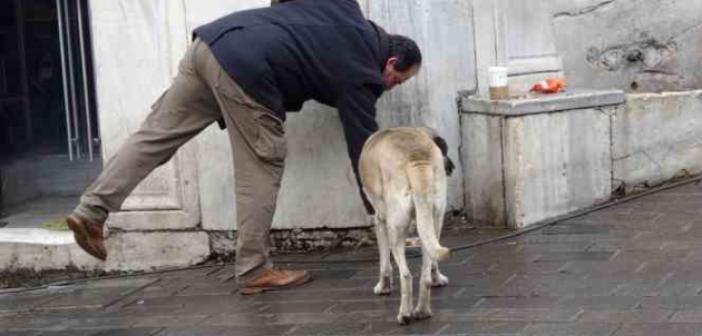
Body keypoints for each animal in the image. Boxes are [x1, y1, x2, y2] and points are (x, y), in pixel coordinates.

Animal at [360, 126, 454, 326]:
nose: (451, 167)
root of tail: (416, 158)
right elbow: (433, 262)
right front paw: (438, 278)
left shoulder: (380, 221)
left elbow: (384, 263)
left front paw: (383, 287)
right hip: (435, 219)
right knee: (425, 275)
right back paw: (422, 311)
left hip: (395, 229)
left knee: (406, 275)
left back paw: (404, 314)